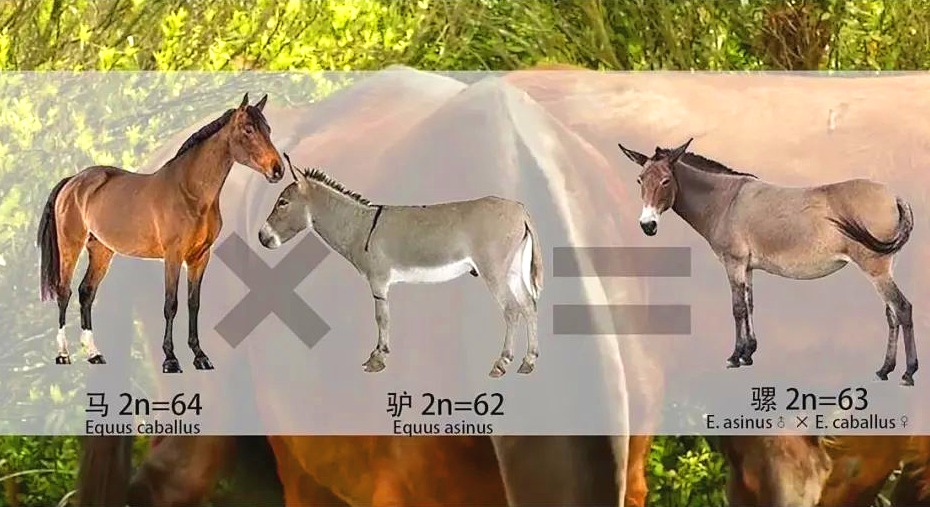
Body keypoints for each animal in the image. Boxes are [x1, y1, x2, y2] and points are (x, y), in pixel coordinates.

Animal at [37, 93, 285, 374]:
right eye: (248, 129)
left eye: (268, 129)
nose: (277, 170)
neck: (189, 192)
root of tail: (73, 181)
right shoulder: (173, 256)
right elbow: (171, 304)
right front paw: (171, 359)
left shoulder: (200, 257)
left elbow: (193, 304)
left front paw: (200, 356)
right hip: (71, 246)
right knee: (64, 292)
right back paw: (63, 355)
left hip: (101, 251)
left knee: (86, 292)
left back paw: (95, 354)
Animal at [258, 156, 544, 378]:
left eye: (282, 202)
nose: (262, 237)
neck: (359, 226)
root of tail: (521, 209)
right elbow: (383, 318)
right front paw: (378, 354)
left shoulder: (378, 281)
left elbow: (381, 318)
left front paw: (378, 358)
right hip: (513, 270)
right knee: (529, 306)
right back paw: (528, 362)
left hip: (494, 270)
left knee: (512, 310)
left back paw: (502, 363)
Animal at [616, 139, 918, 385]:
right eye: (640, 180)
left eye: (666, 181)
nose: (647, 225)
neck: (725, 201)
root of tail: (894, 196)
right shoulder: (747, 267)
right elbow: (750, 305)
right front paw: (749, 353)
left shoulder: (733, 263)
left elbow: (737, 308)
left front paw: (735, 356)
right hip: (885, 268)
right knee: (891, 314)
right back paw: (884, 370)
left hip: (875, 269)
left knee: (903, 308)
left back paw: (908, 373)